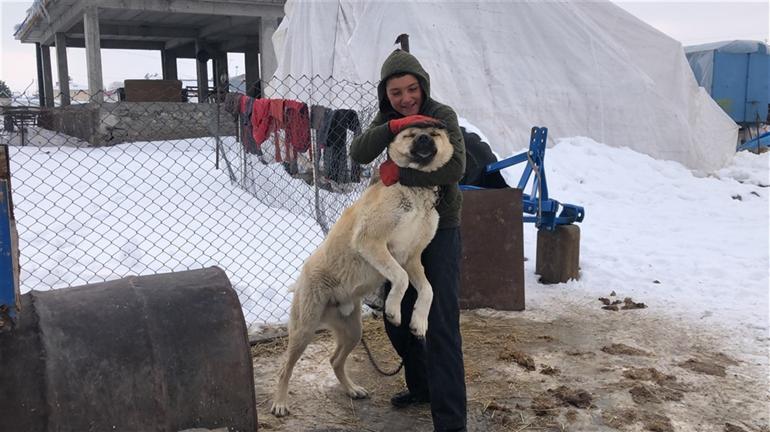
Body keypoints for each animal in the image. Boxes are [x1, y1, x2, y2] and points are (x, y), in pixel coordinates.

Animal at [268, 122, 452, 418]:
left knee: (334, 360)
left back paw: (352, 389)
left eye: (434, 133)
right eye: (410, 134)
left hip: (353, 331)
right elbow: (400, 279)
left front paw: (418, 321)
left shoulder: (412, 258)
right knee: (285, 367)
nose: (424, 138)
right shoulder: (372, 243)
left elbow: (428, 290)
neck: (415, 188)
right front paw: (393, 309)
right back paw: (280, 403)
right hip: (304, 330)